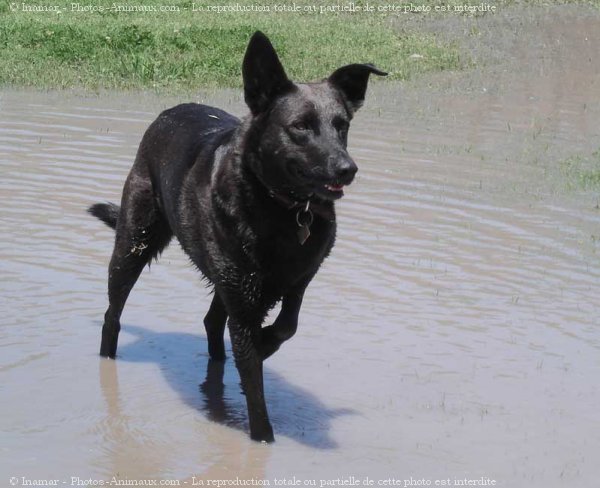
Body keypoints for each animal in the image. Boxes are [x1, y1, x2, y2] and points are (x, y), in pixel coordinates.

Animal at [91, 31, 386, 442]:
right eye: (300, 126)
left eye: (341, 125)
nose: (348, 169)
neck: (280, 206)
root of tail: (167, 113)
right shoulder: (244, 300)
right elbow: (255, 384)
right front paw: (262, 440)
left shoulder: (297, 279)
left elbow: (287, 325)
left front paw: (266, 343)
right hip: (134, 245)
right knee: (112, 314)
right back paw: (109, 362)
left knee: (211, 322)